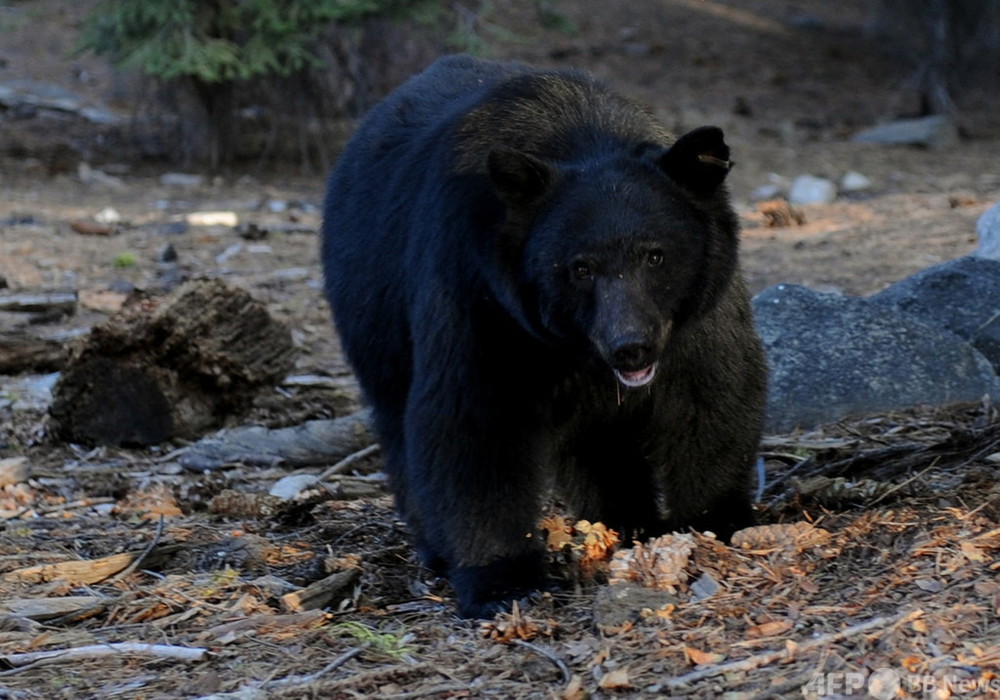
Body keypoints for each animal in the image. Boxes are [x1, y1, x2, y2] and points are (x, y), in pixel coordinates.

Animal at [320, 56, 764, 616]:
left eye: (655, 255)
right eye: (580, 268)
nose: (631, 347)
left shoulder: (697, 314)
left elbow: (712, 393)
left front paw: (716, 521)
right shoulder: (480, 294)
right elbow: (475, 421)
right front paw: (502, 580)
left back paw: (624, 520)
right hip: (373, 313)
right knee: (399, 422)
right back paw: (437, 548)